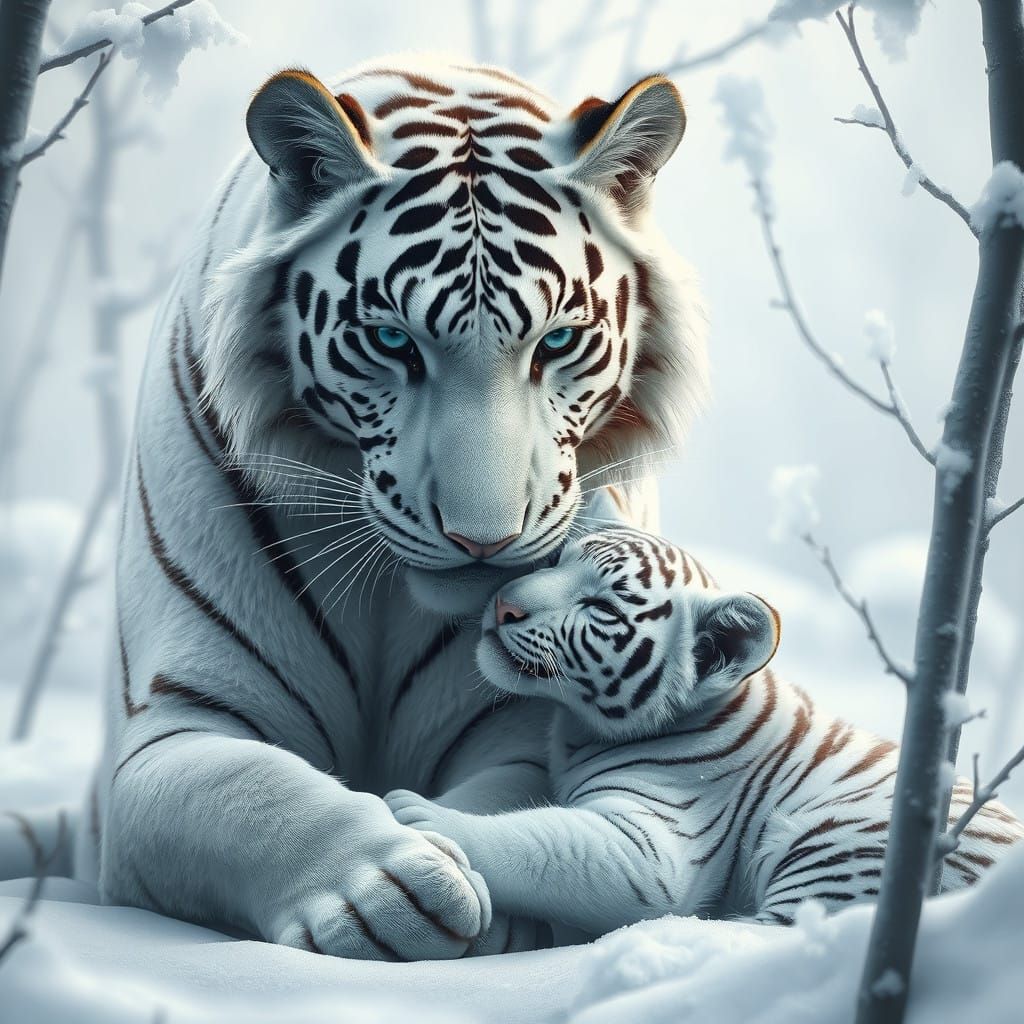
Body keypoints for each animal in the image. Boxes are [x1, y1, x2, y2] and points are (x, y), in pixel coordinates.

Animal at [60, 56, 709, 960]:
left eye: (555, 341)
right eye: (393, 341)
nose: (484, 540)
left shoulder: (525, 723)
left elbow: (510, 798)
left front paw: (463, 867)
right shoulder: (170, 729)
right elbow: (243, 787)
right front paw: (390, 885)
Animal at [386, 526, 1024, 935]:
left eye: (602, 608)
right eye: (556, 562)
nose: (502, 605)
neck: (582, 730)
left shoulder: (655, 844)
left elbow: (536, 841)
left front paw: (420, 816)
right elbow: (505, 794)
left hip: (843, 842)